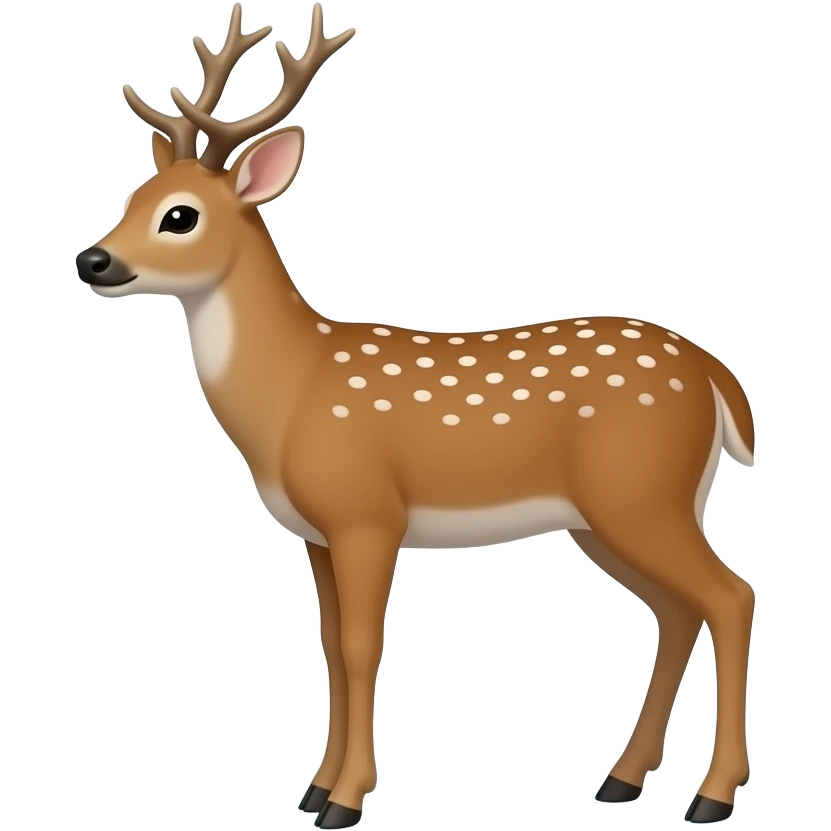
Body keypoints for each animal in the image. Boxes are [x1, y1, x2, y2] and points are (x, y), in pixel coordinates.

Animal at [73, 3, 757, 827]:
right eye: (132, 197)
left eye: (180, 216)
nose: (92, 260)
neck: (292, 390)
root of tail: (713, 373)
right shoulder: (317, 530)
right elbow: (329, 643)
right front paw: (313, 788)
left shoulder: (367, 512)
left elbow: (363, 643)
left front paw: (345, 800)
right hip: (618, 512)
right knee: (678, 610)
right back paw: (621, 779)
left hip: (640, 493)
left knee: (731, 596)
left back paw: (710, 796)